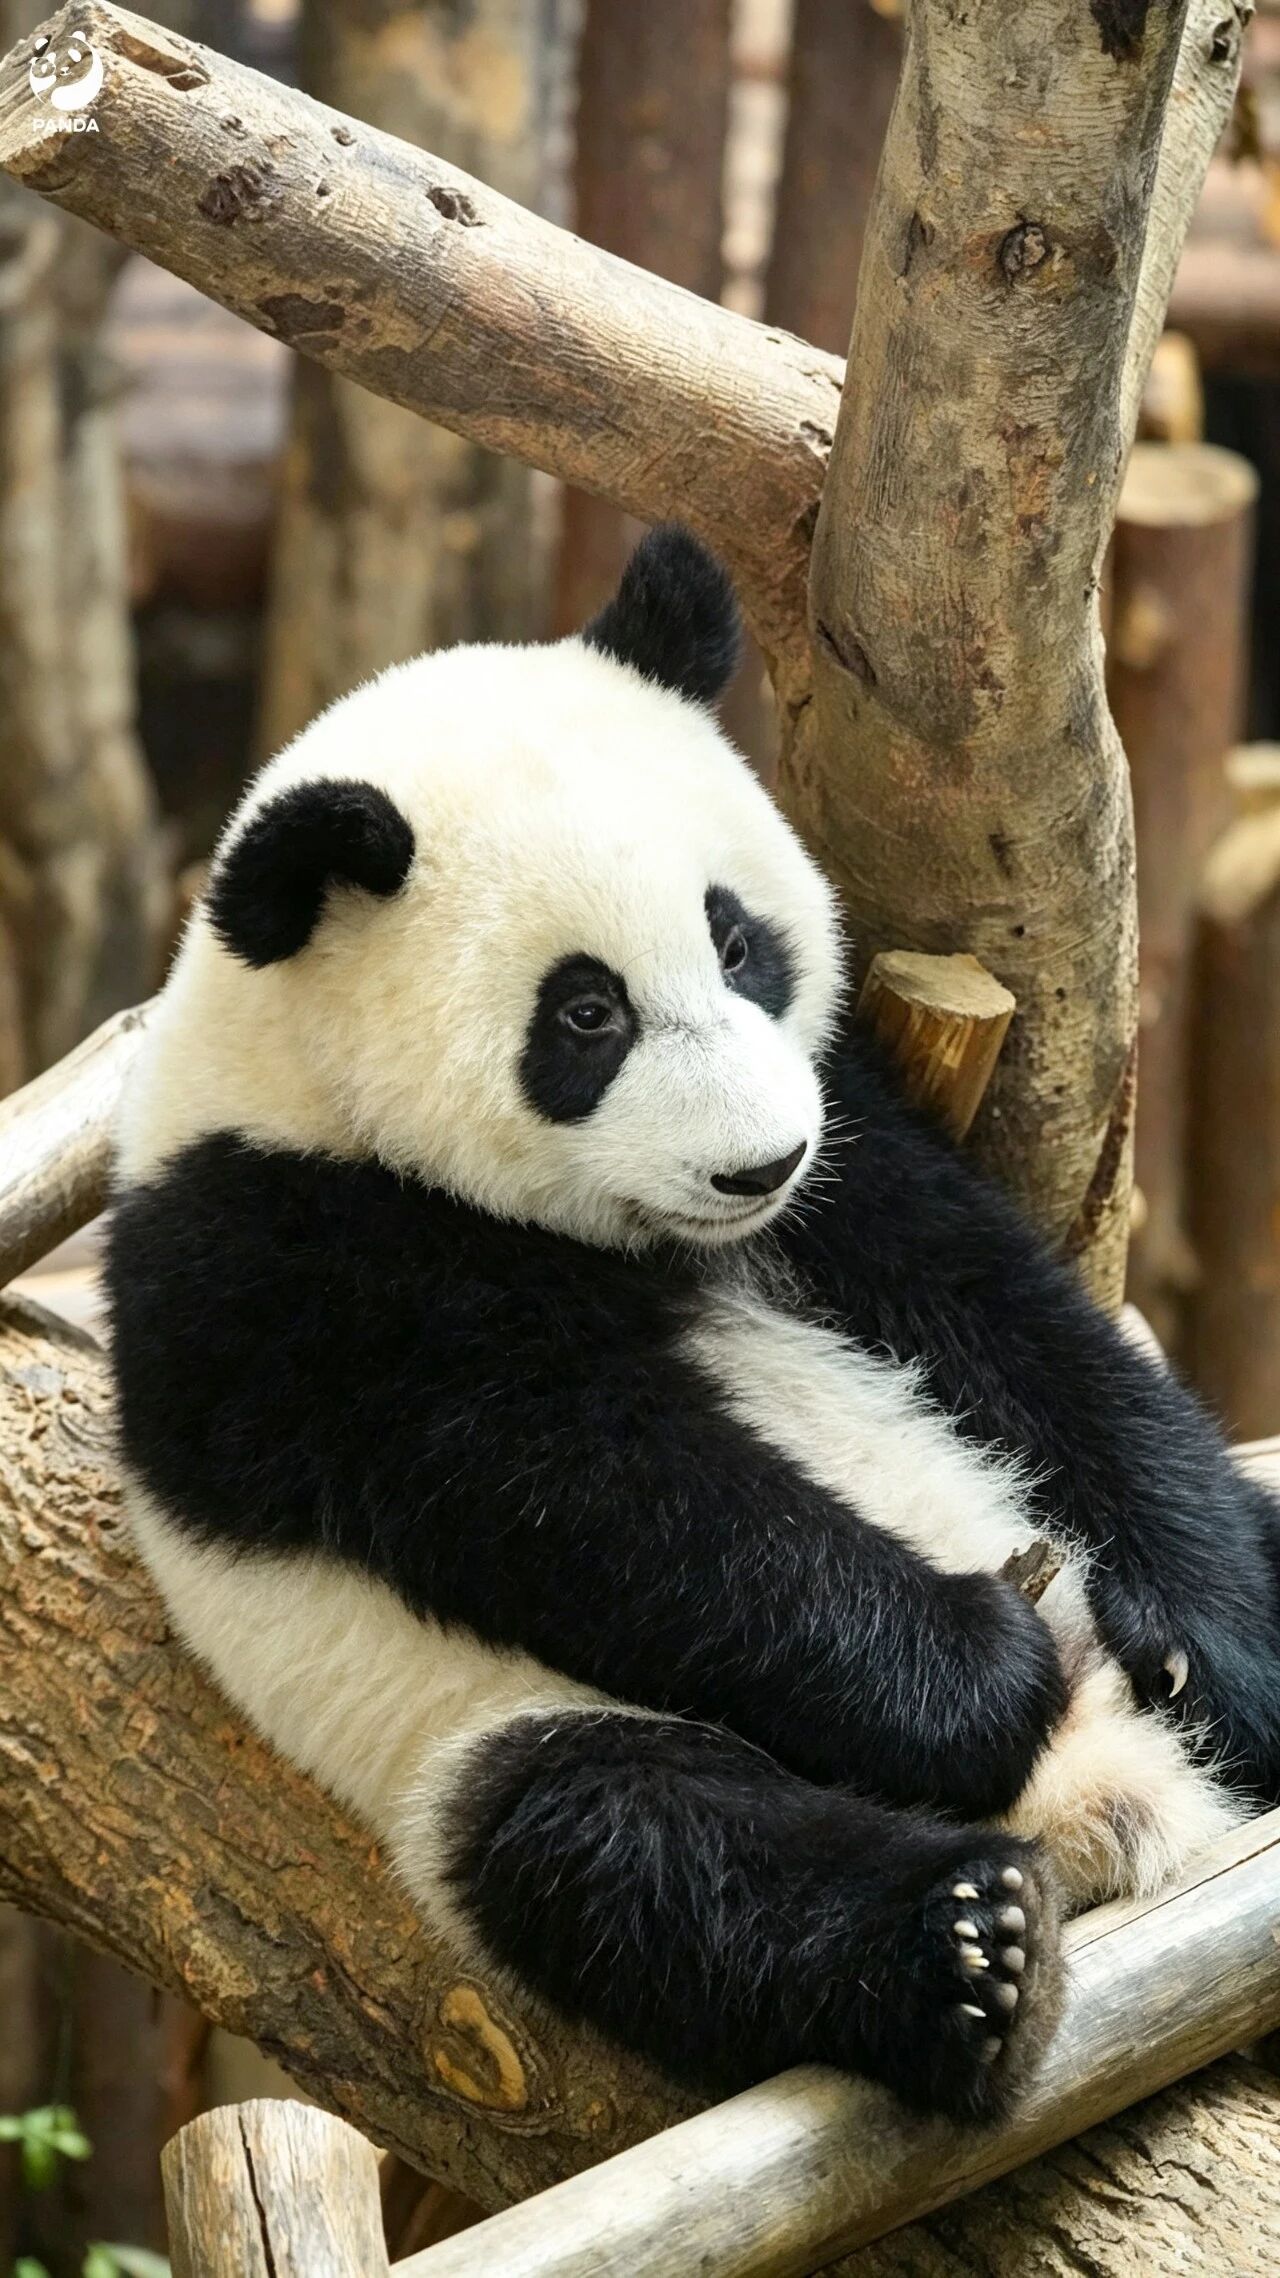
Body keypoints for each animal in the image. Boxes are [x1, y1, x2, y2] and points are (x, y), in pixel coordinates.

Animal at [106, 526, 1280, 2127]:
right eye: (584, 1015)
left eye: (738, 942)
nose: (754, 1165)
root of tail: (1109, 1816)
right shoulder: (279, 1272)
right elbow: (598, 1493)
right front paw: (987, 1655)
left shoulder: (848, 1135)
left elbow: (1017, 1328)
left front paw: (1208, 1638)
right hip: (487, 1732)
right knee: (640, 1848)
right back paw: (972, 1953)